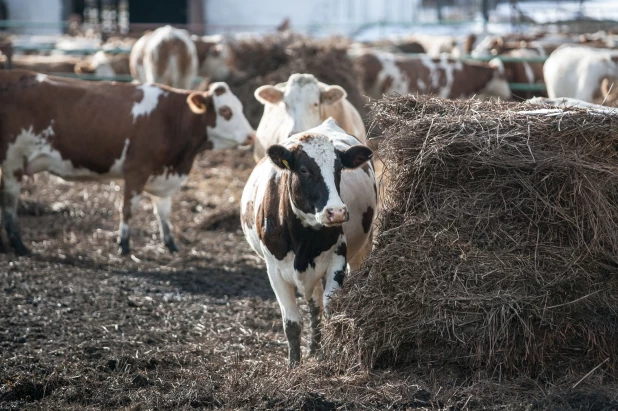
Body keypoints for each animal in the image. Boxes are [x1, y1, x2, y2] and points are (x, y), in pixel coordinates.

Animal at [0, 71, 253, 258]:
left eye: (241, 108)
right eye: (225, 111)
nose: (252, 136)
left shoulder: (163, 176)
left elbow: (163, 213)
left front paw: (171, 245)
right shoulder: (136, 169)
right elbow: (128, 209)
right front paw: (123, 245)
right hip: (13, 160)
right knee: (10, 203)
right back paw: (19, 245)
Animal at [239, 118, 376, 366]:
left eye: (339, 169)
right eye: (303, 170)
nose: (337, 212)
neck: (304, 238)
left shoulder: (336, 259)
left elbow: (331, 311)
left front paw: (329, 356)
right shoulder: (274, 271)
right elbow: (292, 323)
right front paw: (294, 365)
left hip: (362, 249)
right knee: (314, 307)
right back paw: (313, 350)